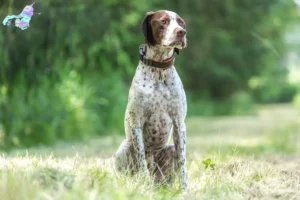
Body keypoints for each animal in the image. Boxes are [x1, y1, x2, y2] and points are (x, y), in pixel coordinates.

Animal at [114, 9, 188, 192]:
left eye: (180, 23)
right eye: (163, 21)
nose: (182, 32)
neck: (159, 70)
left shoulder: (179, 123)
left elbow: (183, 164)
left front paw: (186, 191)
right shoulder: (136, 122)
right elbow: (142, 161)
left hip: (170, 151)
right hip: (125, 147)